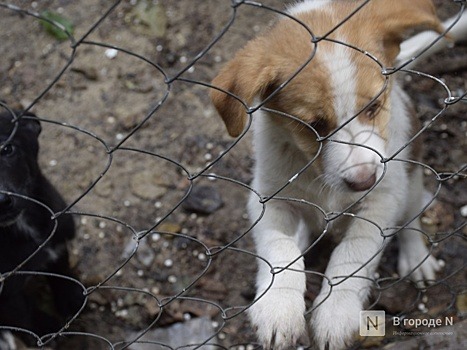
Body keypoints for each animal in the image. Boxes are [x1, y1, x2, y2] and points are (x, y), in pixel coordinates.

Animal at [0, 110, 83, 340]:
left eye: (7, 149)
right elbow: (23, 315)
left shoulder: (59, 234)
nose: (0, 201)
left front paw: (70, 297)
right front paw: (46, 329)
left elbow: (61, 266)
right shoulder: (6, 295)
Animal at [210, 1, 448, 348]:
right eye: (314, 126)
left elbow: (353, 252)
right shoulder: (267, 199)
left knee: (413, 216)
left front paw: (336, 312)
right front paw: (278, 307)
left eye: (374, 106)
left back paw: (416, 255)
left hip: (412, 178)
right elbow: (279, 247)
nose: (363, 181)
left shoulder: (382, 200)